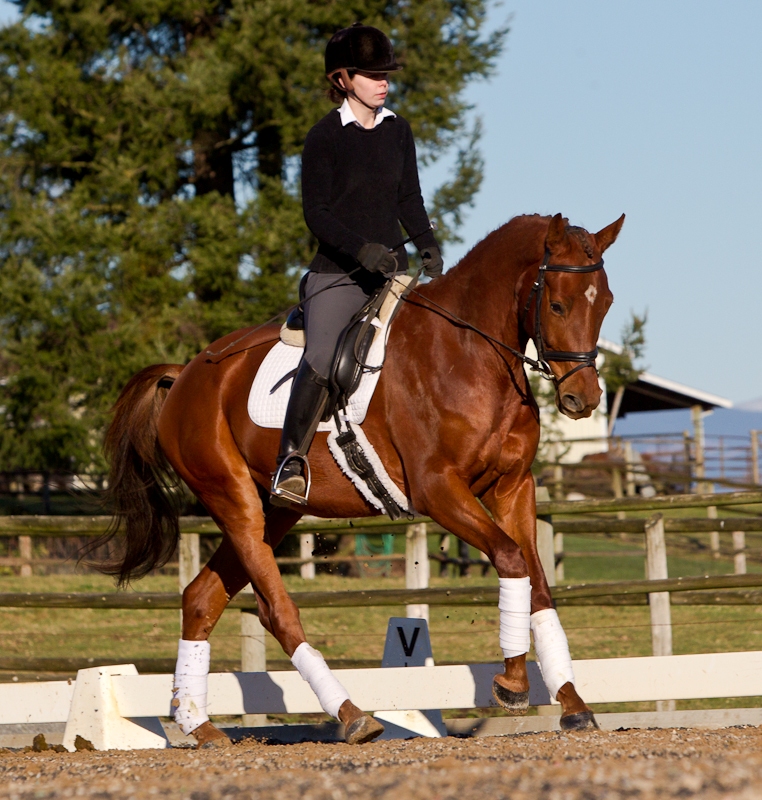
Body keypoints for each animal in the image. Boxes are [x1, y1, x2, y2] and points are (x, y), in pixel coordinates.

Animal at [102, 211, 624, 744]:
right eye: (556, 304)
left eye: (604, 304)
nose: (583, 399)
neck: (470, 353)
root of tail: (184, 375)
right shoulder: (439, 491)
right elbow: (511, 559)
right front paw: (513, 684)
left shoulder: (513, 487)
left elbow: (538, 585)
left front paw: (572, 704)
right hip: (233, 499)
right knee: (275, 610)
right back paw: (351, 715)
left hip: (274, 511)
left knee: (201, 599)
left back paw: (197, 723)